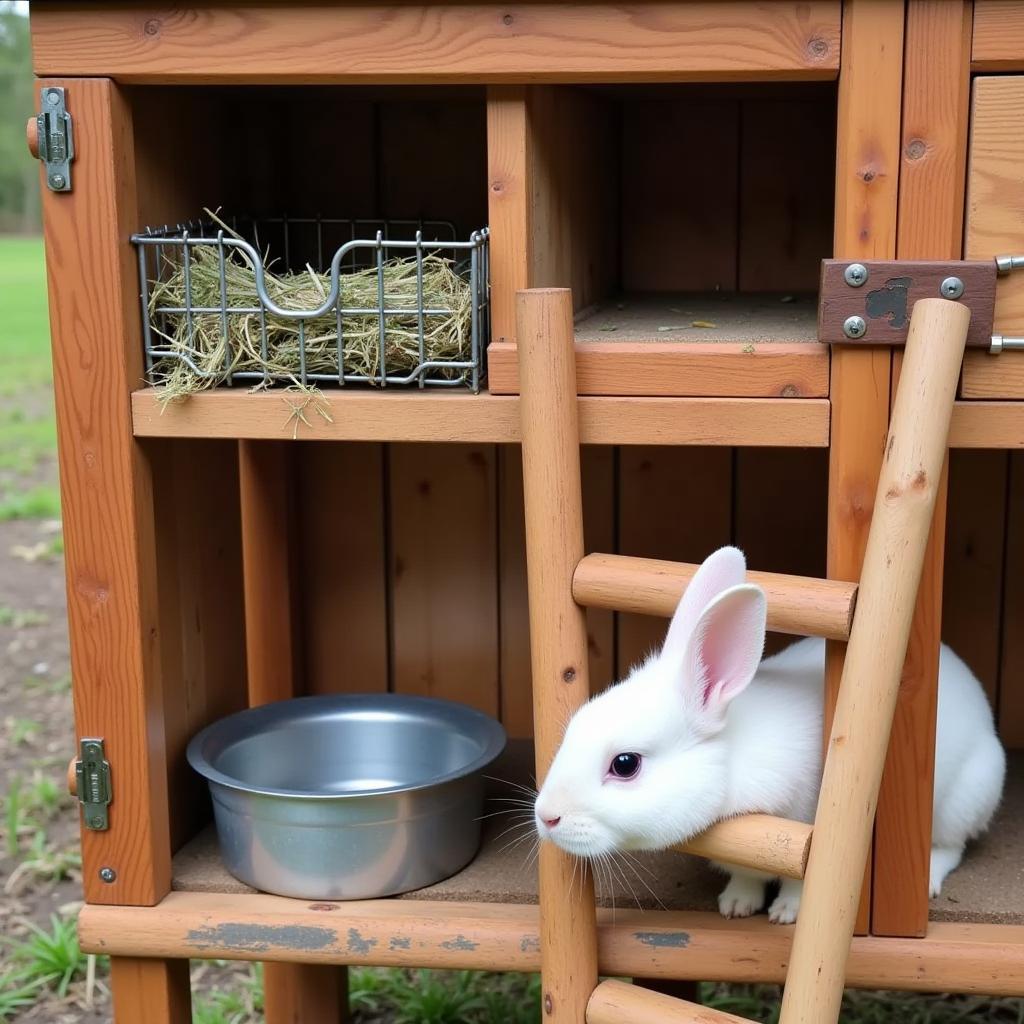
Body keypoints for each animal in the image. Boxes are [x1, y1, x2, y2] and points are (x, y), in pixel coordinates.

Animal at [536, 548, 1007, 925]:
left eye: (625, 764)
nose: (546, 817)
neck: (732, 761)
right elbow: (746, 873)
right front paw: (736, 905)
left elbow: (799, 883)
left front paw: (785, 913)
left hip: (962, 799)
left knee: (950, 847)